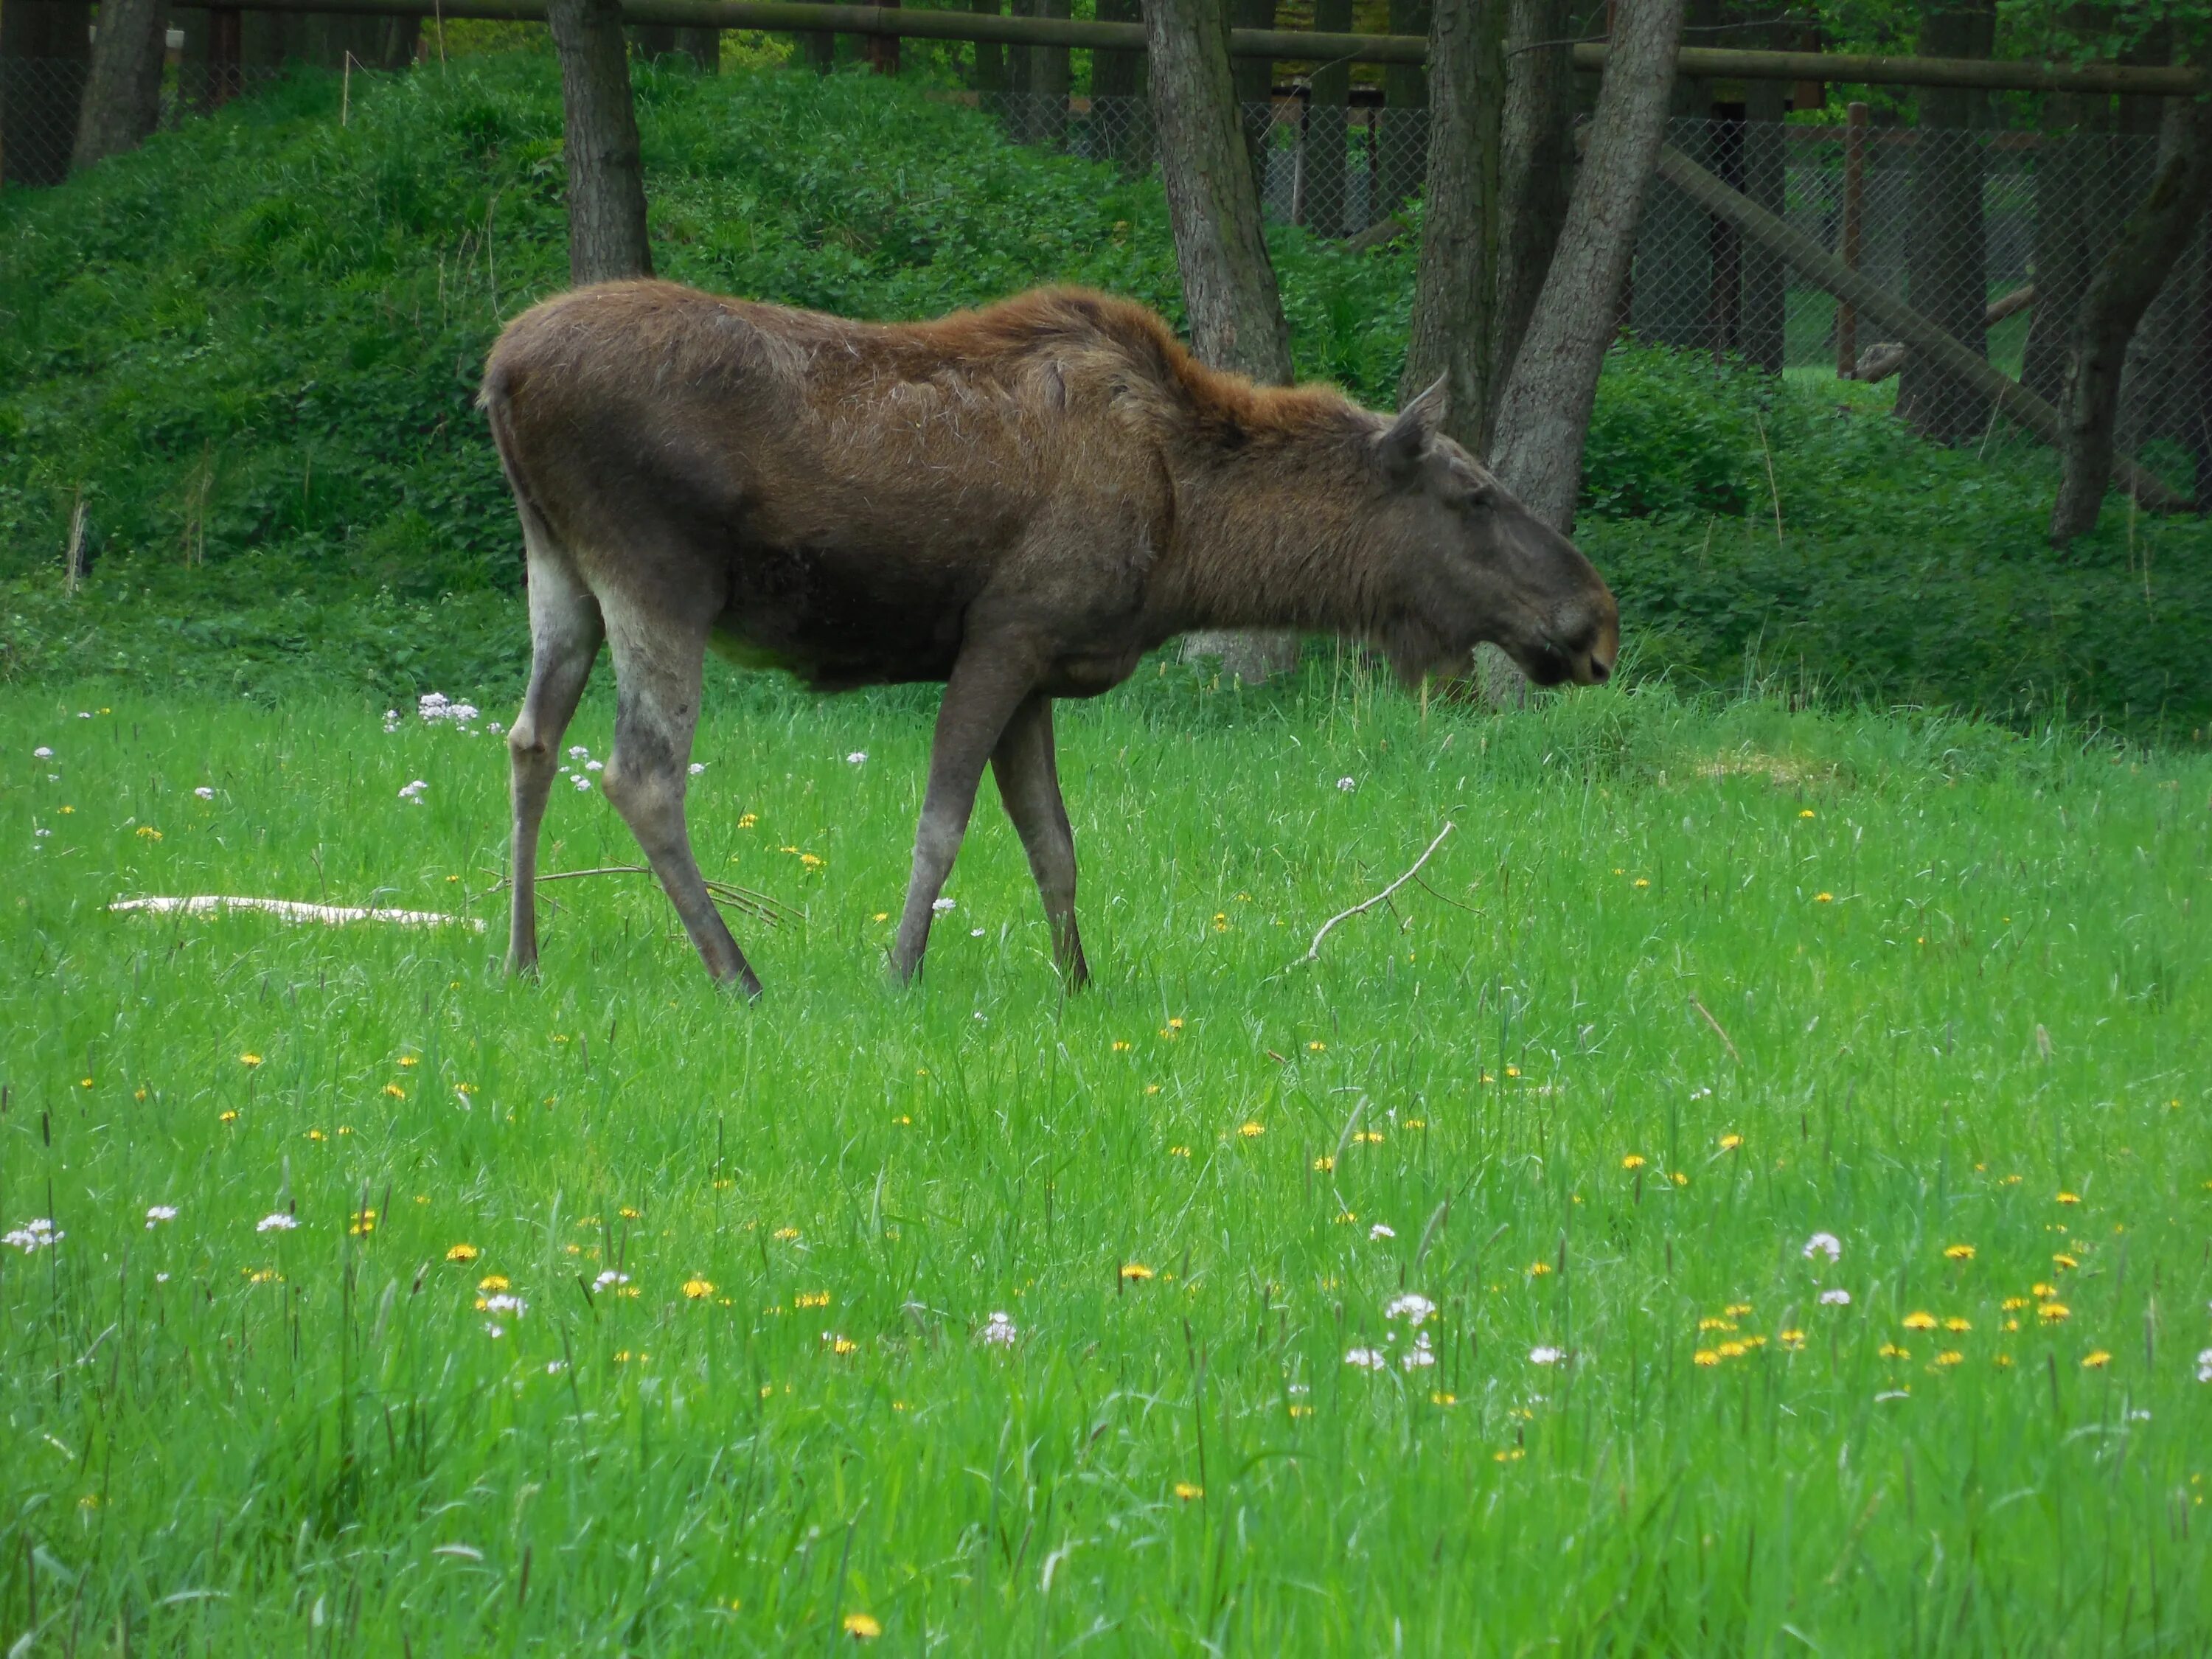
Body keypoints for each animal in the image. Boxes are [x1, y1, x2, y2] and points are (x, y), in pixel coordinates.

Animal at [484, 283, 1619, 1000]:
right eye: (1475, 494)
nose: (1596, 623)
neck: (1189, 538)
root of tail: (500, 371)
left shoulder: (1040, 670)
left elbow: (1054, 842)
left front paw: (1078, 984)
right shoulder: (1007, 632)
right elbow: (943, 824)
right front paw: (900, 973)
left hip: (561, 568)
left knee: (530, 741)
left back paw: (522, 958)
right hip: (658, 574)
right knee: (641, 774)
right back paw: (737, 974)